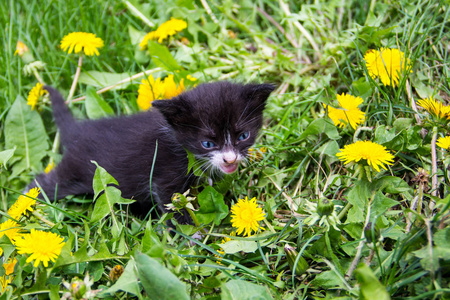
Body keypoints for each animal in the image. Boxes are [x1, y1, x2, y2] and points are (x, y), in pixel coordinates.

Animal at [29, 81, 274, 223]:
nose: (230, 159)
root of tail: (78, 131)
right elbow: (173, 207)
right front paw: (190, 237)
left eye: (243, 136)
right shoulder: (165, 177)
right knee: (46, 182)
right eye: (207, 143)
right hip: (76, 172)